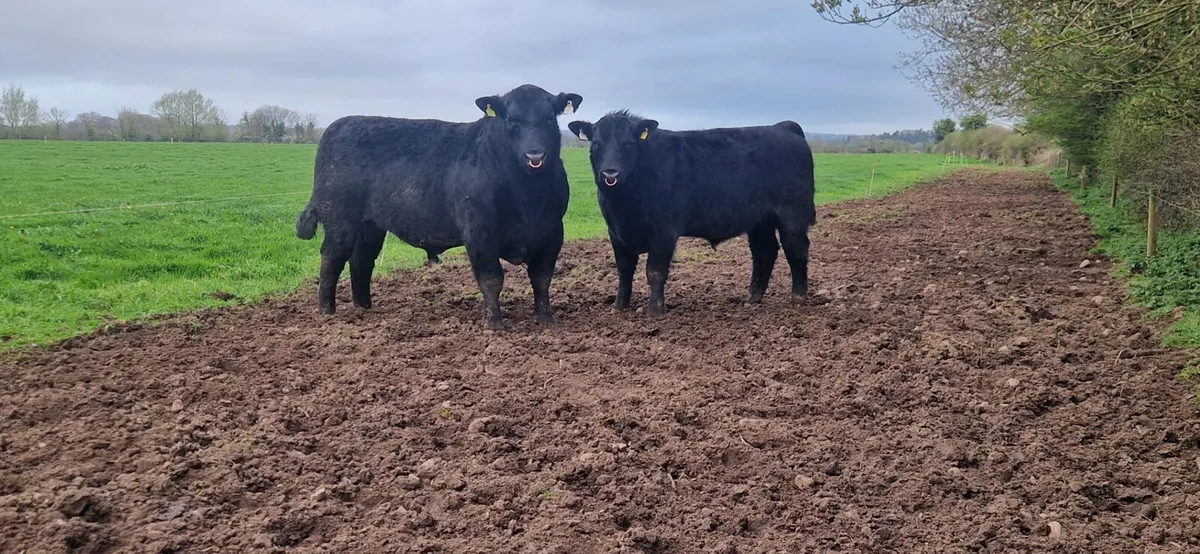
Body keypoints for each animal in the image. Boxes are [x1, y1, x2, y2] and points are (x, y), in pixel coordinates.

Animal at [294, 84, 584, 330]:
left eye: (550, 118)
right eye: (512, 120)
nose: (535, 155)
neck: (527, 196)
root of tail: (339, 124)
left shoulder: (552, 232)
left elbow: (542, 278)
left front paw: (546, 319)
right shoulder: (479, 232)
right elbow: (492, 278)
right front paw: (494, 324)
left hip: (370, 226)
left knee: (361, 260)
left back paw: (364, 307)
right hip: (339, 219)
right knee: (332, 258)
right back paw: (327, 311)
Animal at [567, 110, 815, 317]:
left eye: (628, 144)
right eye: (596, 144)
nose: (610, 173)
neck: (624, 203)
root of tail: (782, 126)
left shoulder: (664, 233)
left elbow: (654, 272)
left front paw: (655, 311)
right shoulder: (616, 233)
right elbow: (624, 271)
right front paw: (619, 306)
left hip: (792, 215)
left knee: (796, 248)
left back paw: (798, 297)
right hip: (759, 221)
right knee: (765, 251)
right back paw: (753, 298)